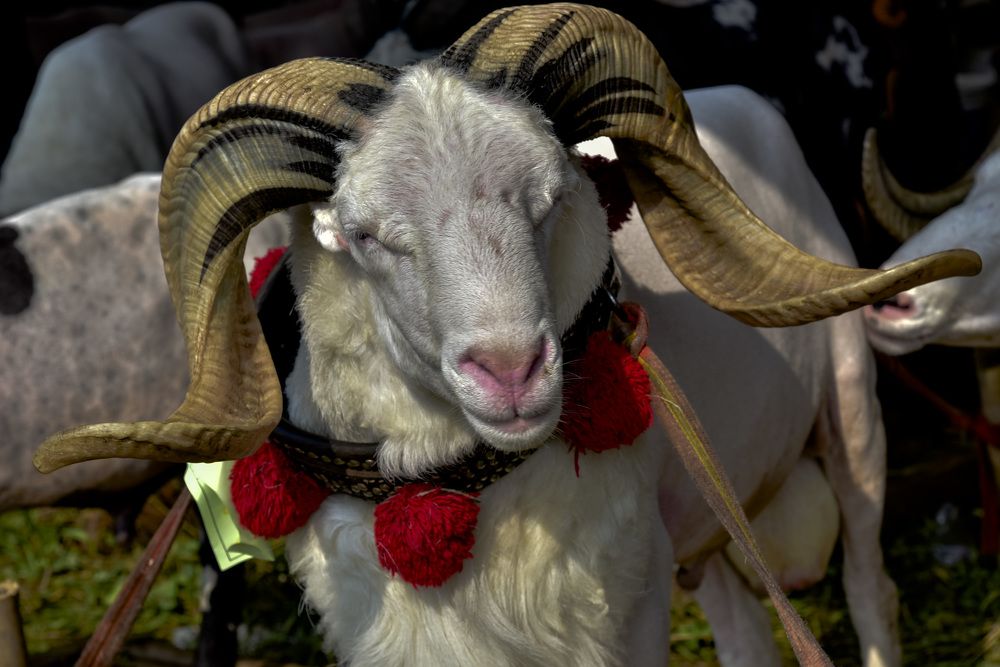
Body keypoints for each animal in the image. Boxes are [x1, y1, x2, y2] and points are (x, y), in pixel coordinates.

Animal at [33, 5, 979, 666]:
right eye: (364, 235)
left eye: (552, 194)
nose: (513, 369)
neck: (464, 493)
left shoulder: (622, 614)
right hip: (705, 521)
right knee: (747, 630)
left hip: (854, 420)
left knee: (870, 588)